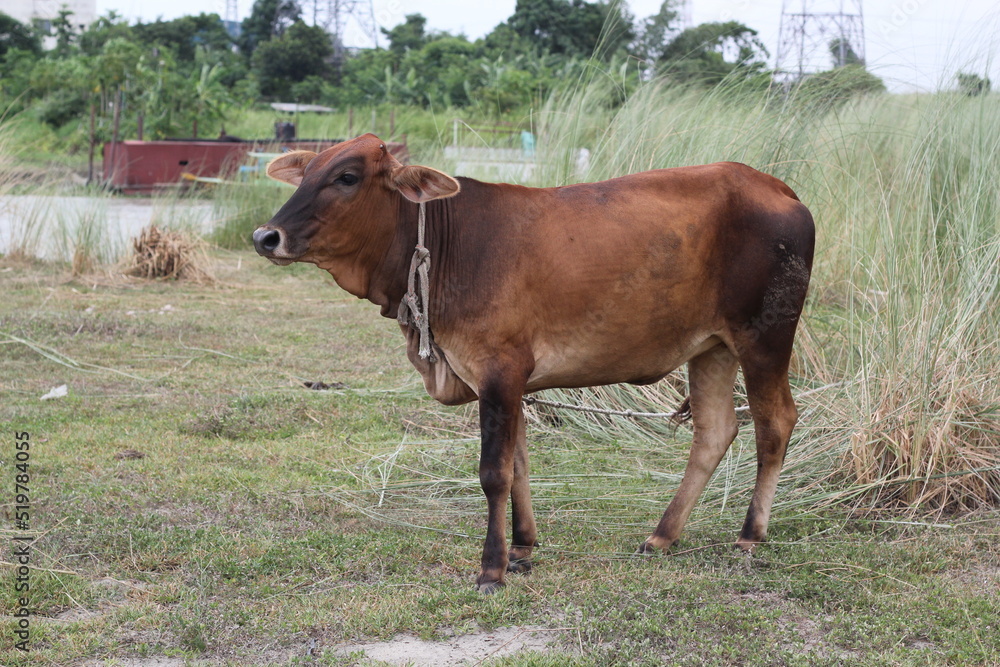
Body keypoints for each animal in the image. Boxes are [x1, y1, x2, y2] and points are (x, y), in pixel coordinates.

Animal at [253, 133, 815, 593]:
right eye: (307, 171)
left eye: (347, 177)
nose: (265, 236)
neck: (448, 242)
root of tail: (777, 187)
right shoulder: (504, 381)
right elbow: (519, 461)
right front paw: (522, 547)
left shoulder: (499, 371)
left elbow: (493, 472)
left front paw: (492, 568)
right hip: (711, 348)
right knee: (715, 431)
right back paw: (661, 536)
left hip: (763, 338)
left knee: (775, 423)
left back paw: (749, 535)